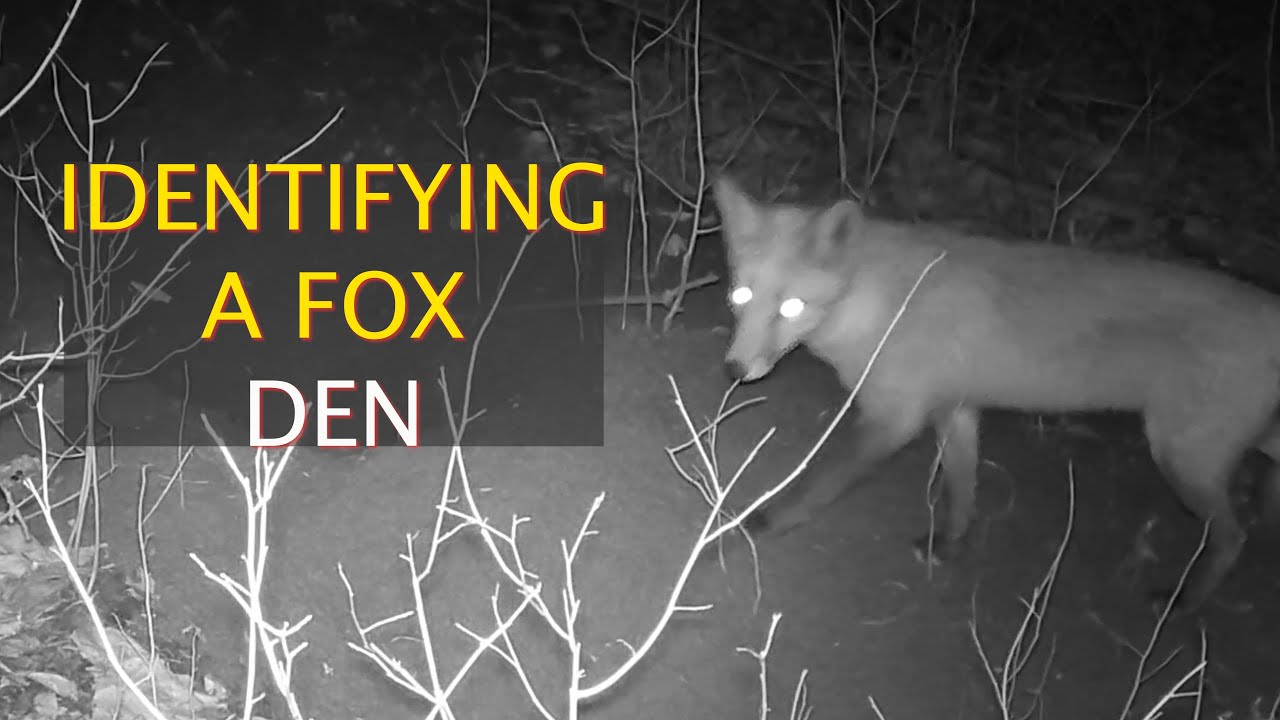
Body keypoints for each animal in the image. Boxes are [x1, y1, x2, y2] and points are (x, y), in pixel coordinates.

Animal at [711, 173, 1280, 614]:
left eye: (791, 307)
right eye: (740, 295)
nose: (735, 369)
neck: (879, 303)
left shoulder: (893, 418)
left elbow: (819, 484)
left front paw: (763, 522)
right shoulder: (957, 408)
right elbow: (962, 486)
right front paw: (948, 546)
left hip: (1182, 457)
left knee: (1235, 538)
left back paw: (1185, 601)